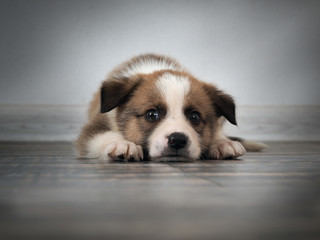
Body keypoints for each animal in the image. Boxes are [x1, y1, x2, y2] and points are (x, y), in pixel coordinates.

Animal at [75, 52, 264, 161]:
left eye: (195, 116)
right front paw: (122, 144)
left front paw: (222, 143)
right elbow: (101, 135)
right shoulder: (97, 124)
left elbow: (216, 131)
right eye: (151, 114)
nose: (178, 140)